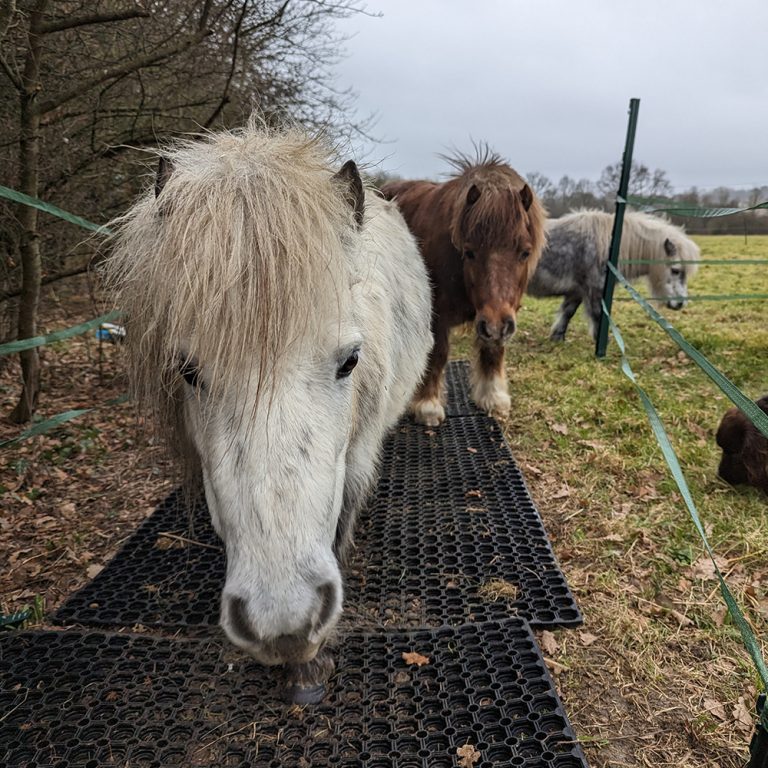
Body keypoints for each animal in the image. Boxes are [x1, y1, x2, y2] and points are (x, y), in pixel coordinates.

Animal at [382, 149, 547, 426]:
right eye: (469, 252)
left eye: (524, 252)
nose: (494, 325)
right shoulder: (436, 316)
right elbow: (437, 353)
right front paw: (428, 406)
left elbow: (493, 351)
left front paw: (493, 398)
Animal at [526, 209, 700, 341]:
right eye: (675, 270)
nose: (680, 304)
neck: (609, 248)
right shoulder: (595, 290)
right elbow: (598, 315)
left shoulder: (577, 291)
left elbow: (568, 312)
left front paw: (557, 337)